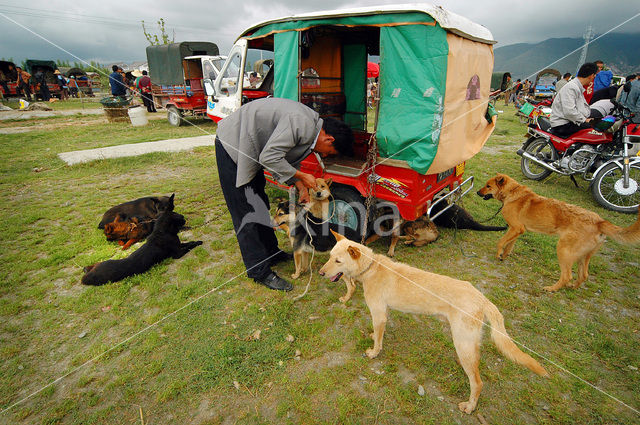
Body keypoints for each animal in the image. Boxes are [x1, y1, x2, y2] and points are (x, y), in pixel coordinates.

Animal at [320, 230, 552, 412]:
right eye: (330, 256)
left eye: (338, 261)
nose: (321, 273)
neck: (371, 267)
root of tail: (481, 297)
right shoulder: (383, 314)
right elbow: (378, 334)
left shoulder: (378, 313)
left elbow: (378, 340)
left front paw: (374, 352)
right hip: (467, 344)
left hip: (463, 342)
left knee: (477, 383)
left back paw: (470, 406)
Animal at [476, 174, 640, 290]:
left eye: (488, 186)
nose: (477, 192)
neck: (512, 192)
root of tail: (599, 221)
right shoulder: (517, 230)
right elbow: (509, 245)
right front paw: (504, 256)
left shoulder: (515, 228)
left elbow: (501, 242)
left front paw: (498, 255)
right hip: (583, 256)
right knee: (583, 275)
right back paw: (571, 288)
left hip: (563, 250)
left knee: (567, 275)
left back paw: (551, 289)